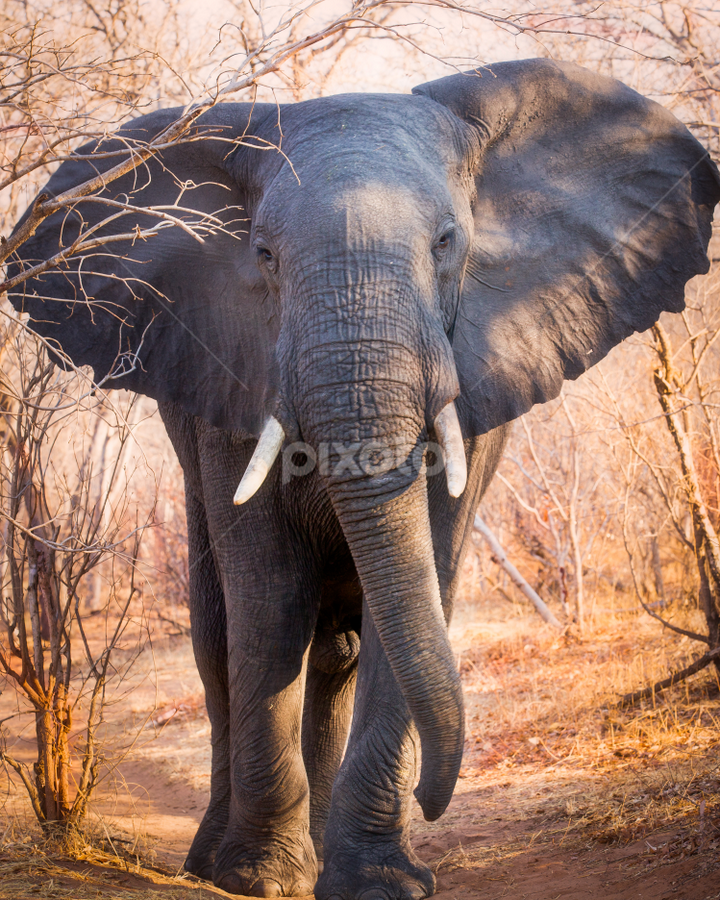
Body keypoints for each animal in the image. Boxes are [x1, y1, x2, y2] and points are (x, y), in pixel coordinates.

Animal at [9, 58, 720, 900]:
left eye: (447, 243)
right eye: (264, 255)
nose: (435, 798)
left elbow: (419, 581)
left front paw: (380, 880)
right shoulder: (227, 370)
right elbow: (270, 594)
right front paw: (260, 877)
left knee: (339, 650)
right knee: (220, 637)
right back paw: (214, 862)